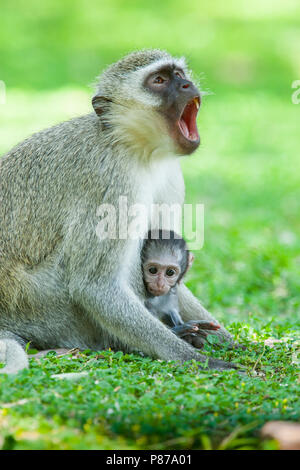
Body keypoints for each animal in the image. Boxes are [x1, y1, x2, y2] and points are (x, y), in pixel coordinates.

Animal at [0, 50, 234, 374]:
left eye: (178, 74)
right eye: (159, 81)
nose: (187, 85)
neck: (137, 149)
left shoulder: (171, 175)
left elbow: (169, 250)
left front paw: (231, 341)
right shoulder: (112, 180)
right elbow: (95, 287)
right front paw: (197, 358)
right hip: (40, 304)